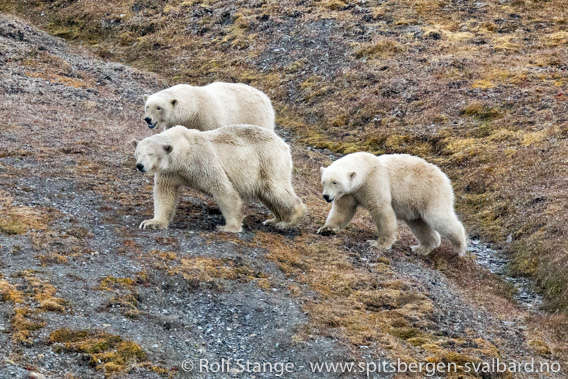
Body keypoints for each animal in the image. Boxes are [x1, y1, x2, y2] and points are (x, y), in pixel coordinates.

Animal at [133, 124, 304, 233]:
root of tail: (283, 144)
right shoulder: (170, 172)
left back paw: (289, 221)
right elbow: (165, 193)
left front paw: (228, 227)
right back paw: (274, 220)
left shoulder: (202, 161)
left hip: (268, 161)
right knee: (268, 195)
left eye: (151, 154)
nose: (139, 166)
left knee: (276, 190)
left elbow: (222, 189)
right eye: (137, 153)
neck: (185, 152)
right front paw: (152, 223)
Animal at [142, 83, 276, 132]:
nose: (147, 119)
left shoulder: (209, 120)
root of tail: (265, 97)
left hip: (256, 118)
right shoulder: (176, 123)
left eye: (159, 107)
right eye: (147, 106)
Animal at [318, 153, 468, 256]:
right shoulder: (349, 193)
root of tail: (444, 177)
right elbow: (343, 210)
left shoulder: (374, 182)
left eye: (335, 182)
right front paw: (326, 229)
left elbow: (381, 209)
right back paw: (421, 248)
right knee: (418, 224)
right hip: (415, 203)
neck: (366, 168)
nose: (326, 196)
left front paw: (378, 244)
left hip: (430, 193)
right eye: (324, 182)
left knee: (438, 218)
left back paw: (460, 247)